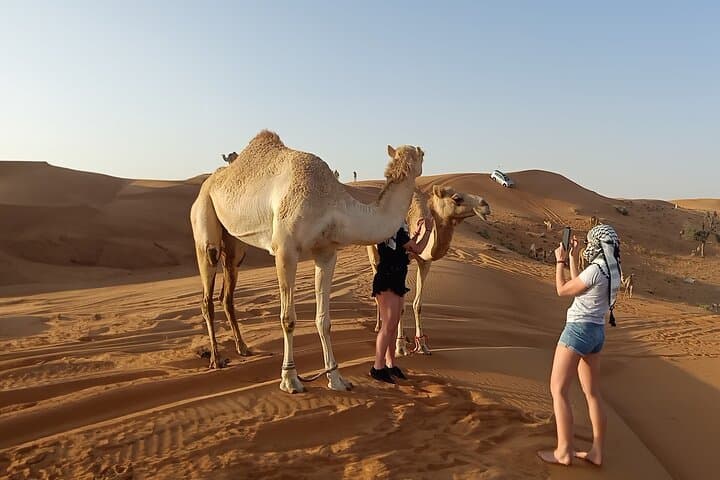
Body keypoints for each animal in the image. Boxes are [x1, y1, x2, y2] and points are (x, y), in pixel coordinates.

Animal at [190, 130, 425, 393]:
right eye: (422, 155)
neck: (332, 203)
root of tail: (210, 182)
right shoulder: (285, 250)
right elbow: (288, 319)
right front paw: (290, 379)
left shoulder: (326, 252)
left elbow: (324, 320)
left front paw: (336, 379)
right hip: (204, 219)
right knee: (207, 290)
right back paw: (216, 359)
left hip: (235, 244)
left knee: (228, 290)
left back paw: (243, 348)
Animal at [368, 185, 490, 355]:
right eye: (457, 198)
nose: (485, 205)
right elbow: (401, 306)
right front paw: (400, 346)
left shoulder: (424, 262)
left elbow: (417, 304)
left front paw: (422, 345)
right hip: (374, 256)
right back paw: (379, 326)